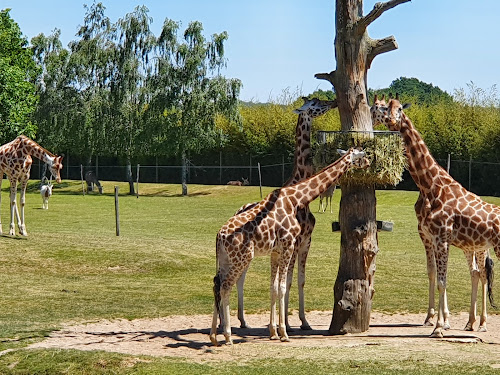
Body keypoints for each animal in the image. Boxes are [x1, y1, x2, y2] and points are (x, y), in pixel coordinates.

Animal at [209, 148, 370, 346]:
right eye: (362, 156)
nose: (369, 163)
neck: (296, 199)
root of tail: (219, 236)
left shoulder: (276, 251)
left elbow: (274, 287)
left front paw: (273, 332)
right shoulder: (289, 245)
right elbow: (283, 286)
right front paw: (284, 333)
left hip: (225, 259)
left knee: (217, 284)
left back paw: (214, 336)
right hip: (242, 258)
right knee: (226, 286)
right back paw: (228, 335)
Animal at [234, 97, 336, 332]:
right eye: (316, 104)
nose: (334, 102)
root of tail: (238, 209)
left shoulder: (307, 241)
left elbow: (299, 280)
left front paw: (304, 321)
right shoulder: (295, 242)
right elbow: (286, 281)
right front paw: (287, 324)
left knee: (241, 278)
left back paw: (243, 320)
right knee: (240, 278)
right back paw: (243, 320)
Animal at [372, 96, 500, 338]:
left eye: (399, 108)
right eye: (378, 108)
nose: (391, 120)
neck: (430, 186)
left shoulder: (441, 237)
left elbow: (442, 281)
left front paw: (440, 326)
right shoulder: (430, 237)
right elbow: (435, 275)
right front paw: (437, 320)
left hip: (486, 248)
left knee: (482, 274)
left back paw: (482, 323)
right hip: (475, 246)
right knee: (476, 274)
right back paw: (471, 322)